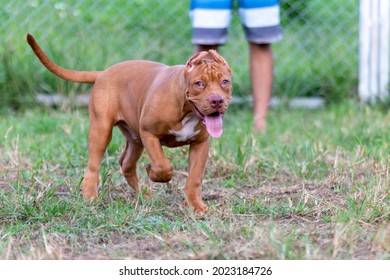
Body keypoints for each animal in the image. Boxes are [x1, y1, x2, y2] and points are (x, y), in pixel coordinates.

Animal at [26, 34, 232, 213]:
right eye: (199, 84)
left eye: (225, 82)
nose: (217, 101)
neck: (186, 108)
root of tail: (102, 73)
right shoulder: (149, 134)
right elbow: (162, 166)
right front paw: (152, 172)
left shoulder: (200, 144)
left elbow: (195, 178)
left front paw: (195, 205)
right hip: (102, 131)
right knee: (93, 165)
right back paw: (90, 196)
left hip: (135, 139)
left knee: (126, 163)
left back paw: (143, 194)